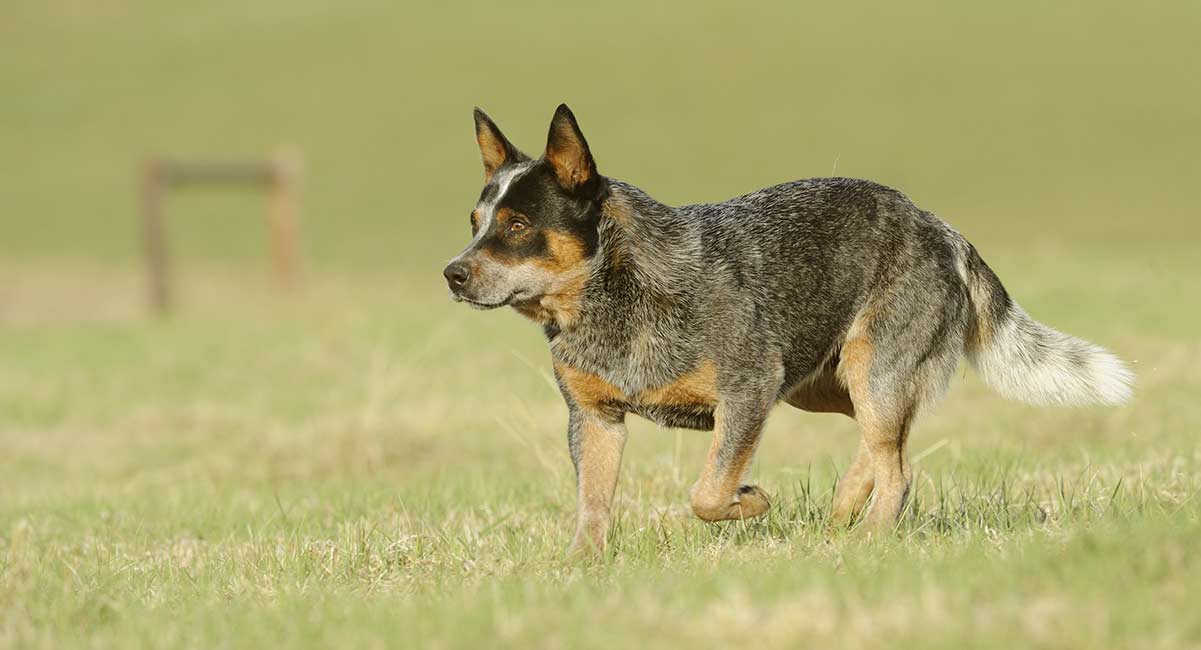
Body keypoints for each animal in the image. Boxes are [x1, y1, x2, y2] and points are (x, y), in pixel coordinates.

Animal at [444, 105, 1133, 552]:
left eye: (516, 226)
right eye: (475, 221)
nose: (452, 273)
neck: (612, 300)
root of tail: (942, 228)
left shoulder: (749, 391)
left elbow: (707, 492)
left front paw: (751, 502)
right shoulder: (594, 418)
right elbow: (592, 506)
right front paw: (582, 573)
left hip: (868, 371)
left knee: (899, 468)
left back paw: (869, 541)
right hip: (823, 386)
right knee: (887, 449)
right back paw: (841, 516)